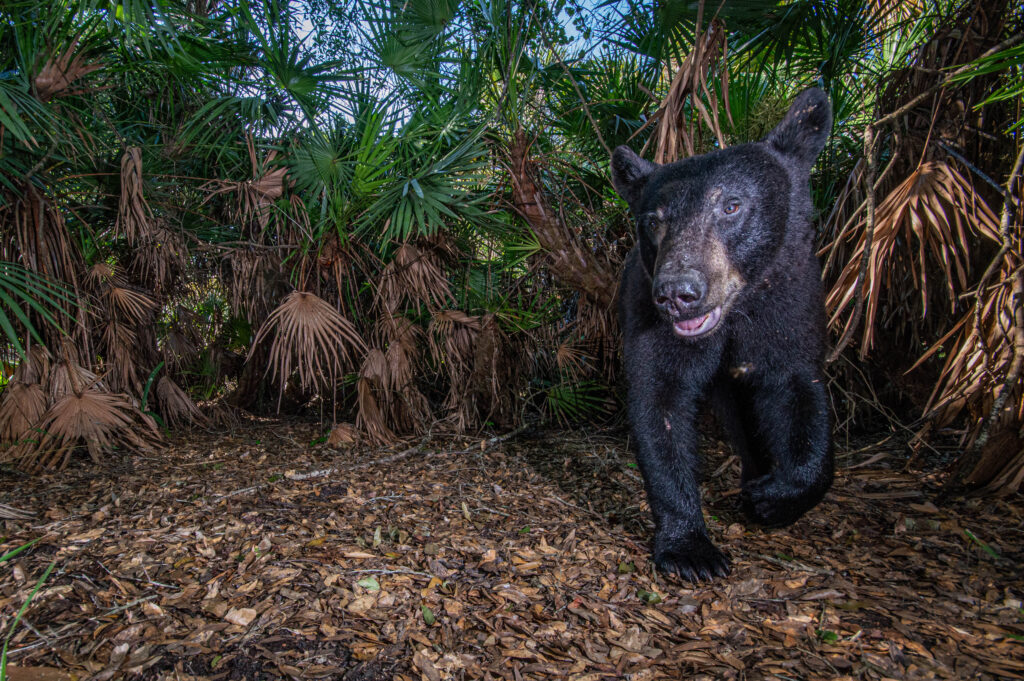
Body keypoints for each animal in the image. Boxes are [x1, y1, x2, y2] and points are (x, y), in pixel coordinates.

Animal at [610, 89, 835, 577]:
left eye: (731, 205)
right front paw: (690, 548)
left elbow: (797, 385)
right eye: (653, 220)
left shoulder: (789, 302)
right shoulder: (645, 311)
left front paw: (774, 497)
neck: (734, 312)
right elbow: (660, 400)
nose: (677, 293)